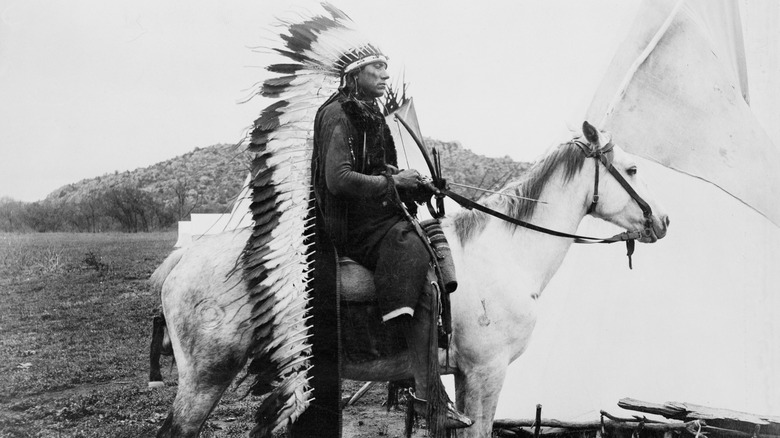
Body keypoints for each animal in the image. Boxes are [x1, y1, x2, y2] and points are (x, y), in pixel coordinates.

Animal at [152, 124, 672, 438]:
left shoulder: (462, 376)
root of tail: (183, 258)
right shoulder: (487, 373)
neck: (504, 254)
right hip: (205, 376)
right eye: (632, 169)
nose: (663, 220)